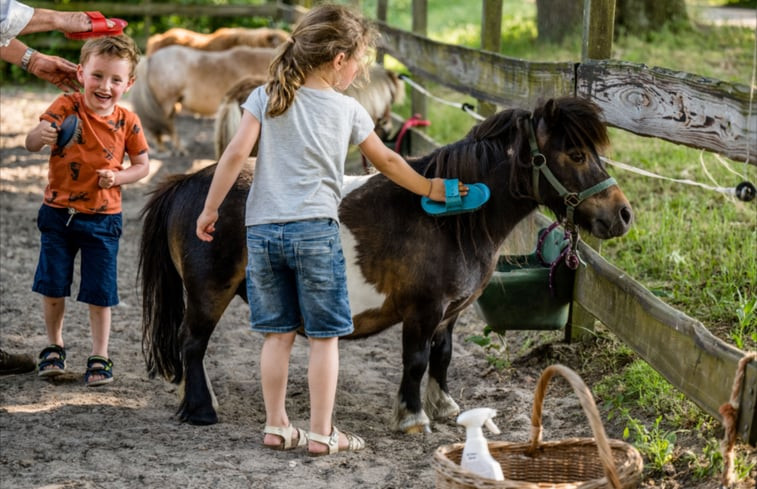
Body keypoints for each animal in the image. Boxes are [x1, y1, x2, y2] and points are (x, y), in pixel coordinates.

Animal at [140, 95, 632, 430]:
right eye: (576, 154)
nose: (623, 213)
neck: (450, 218)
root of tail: (190, 183)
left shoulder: (449, 313)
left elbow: (442, 356)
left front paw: (444, 406)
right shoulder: (423, 310)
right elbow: (415, 360)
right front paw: (413, 417)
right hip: (210, 291)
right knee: (191, 343)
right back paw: (201, 409)